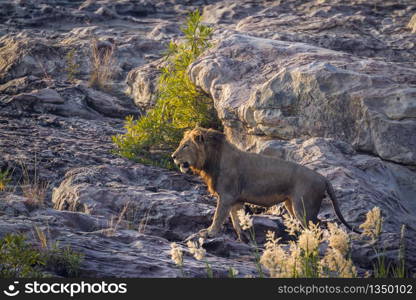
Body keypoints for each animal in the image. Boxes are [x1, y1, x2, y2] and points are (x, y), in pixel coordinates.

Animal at [171, 127, 360, 240]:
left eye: (185, 146)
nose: (173, 156)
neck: (211, 160)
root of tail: (323, 178)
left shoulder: (226, 196)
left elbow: (218, 216)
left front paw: (209, 233)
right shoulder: (235, 199)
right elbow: (236, 219)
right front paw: (243, 238)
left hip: (304, 208)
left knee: (319, 227)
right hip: (291, 205)